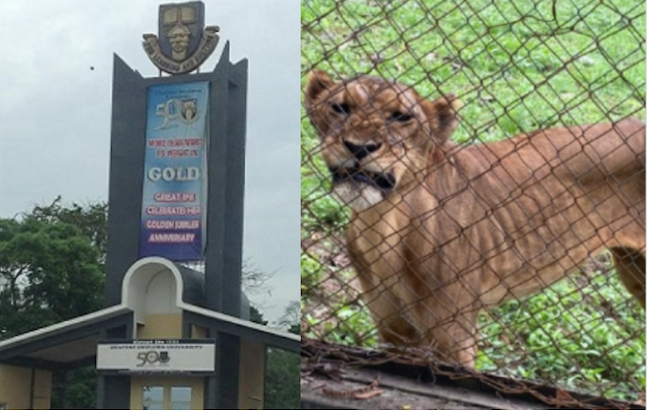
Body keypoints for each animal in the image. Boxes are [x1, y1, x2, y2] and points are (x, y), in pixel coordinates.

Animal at [305, 69, 646, 367]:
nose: (359, 147)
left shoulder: (453, 336)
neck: (383, 224)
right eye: (340, 107)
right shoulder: (394, 329)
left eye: (401, 116)